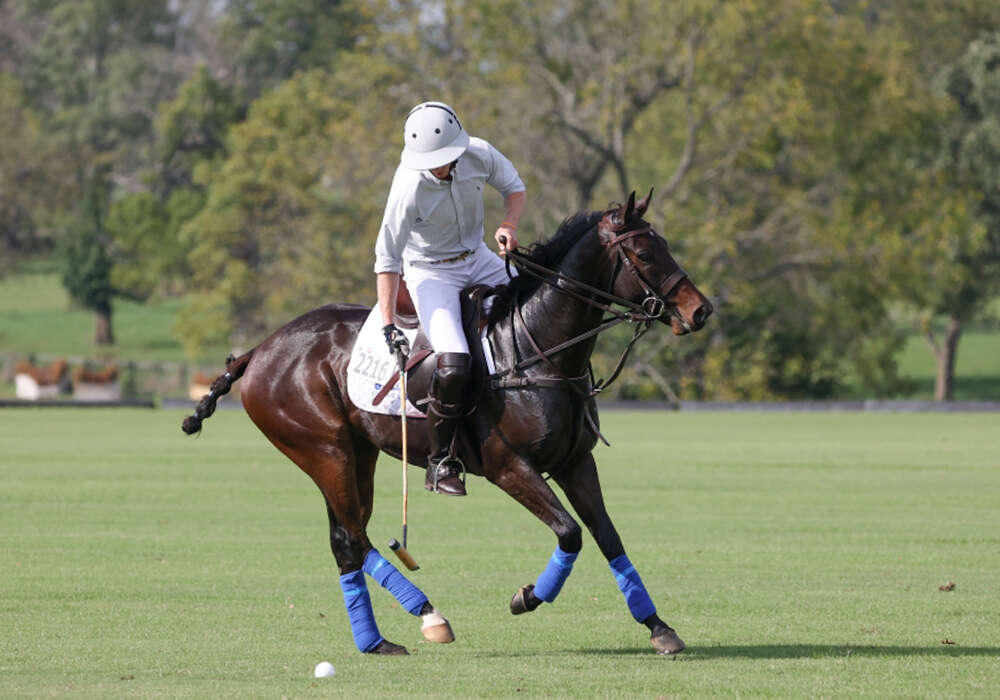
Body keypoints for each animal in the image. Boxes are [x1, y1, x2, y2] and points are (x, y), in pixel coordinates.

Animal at [180, 187, 712, 656]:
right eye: (643, 253)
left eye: (664, 245)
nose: (700, 311)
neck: (536, 348)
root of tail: (259, 349)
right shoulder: (508, 467)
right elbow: (570, 532)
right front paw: (527, 597)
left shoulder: (576, 462)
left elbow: (607, 536)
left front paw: (659, 627)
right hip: (323, 451)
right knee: (352, 535)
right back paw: (427, 616)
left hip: (358, 453)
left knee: (347, 539)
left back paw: (378, 641)